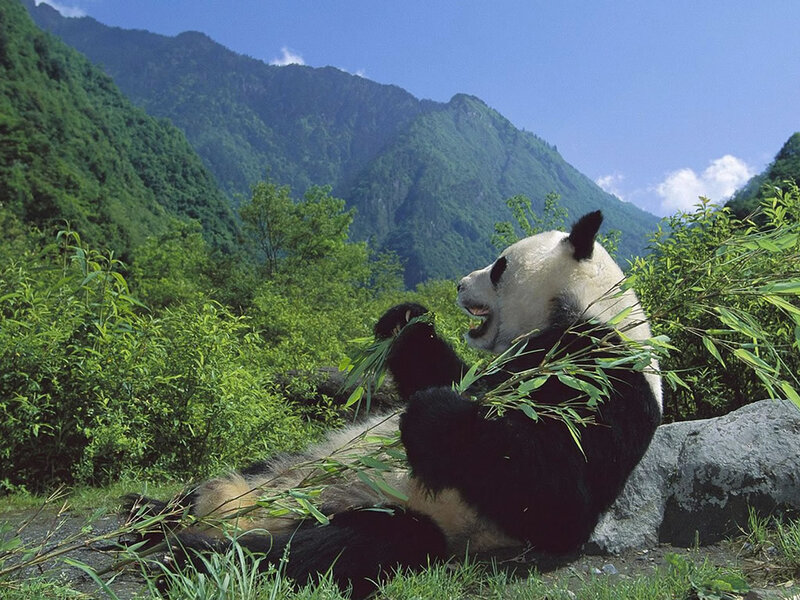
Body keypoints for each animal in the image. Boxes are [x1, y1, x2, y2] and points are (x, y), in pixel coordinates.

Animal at [126, 210, 662, 598]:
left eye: (499, 266)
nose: (459, 285)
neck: (585, 308)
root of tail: (245, 508)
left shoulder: (606, 378)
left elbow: (560, 499)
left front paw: (437, 415)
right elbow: (446, 371)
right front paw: (405, 318)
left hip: (392, 511)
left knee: (347, 546)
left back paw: (191, 554)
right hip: (288, 462)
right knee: (224, 483)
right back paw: (147, 514)